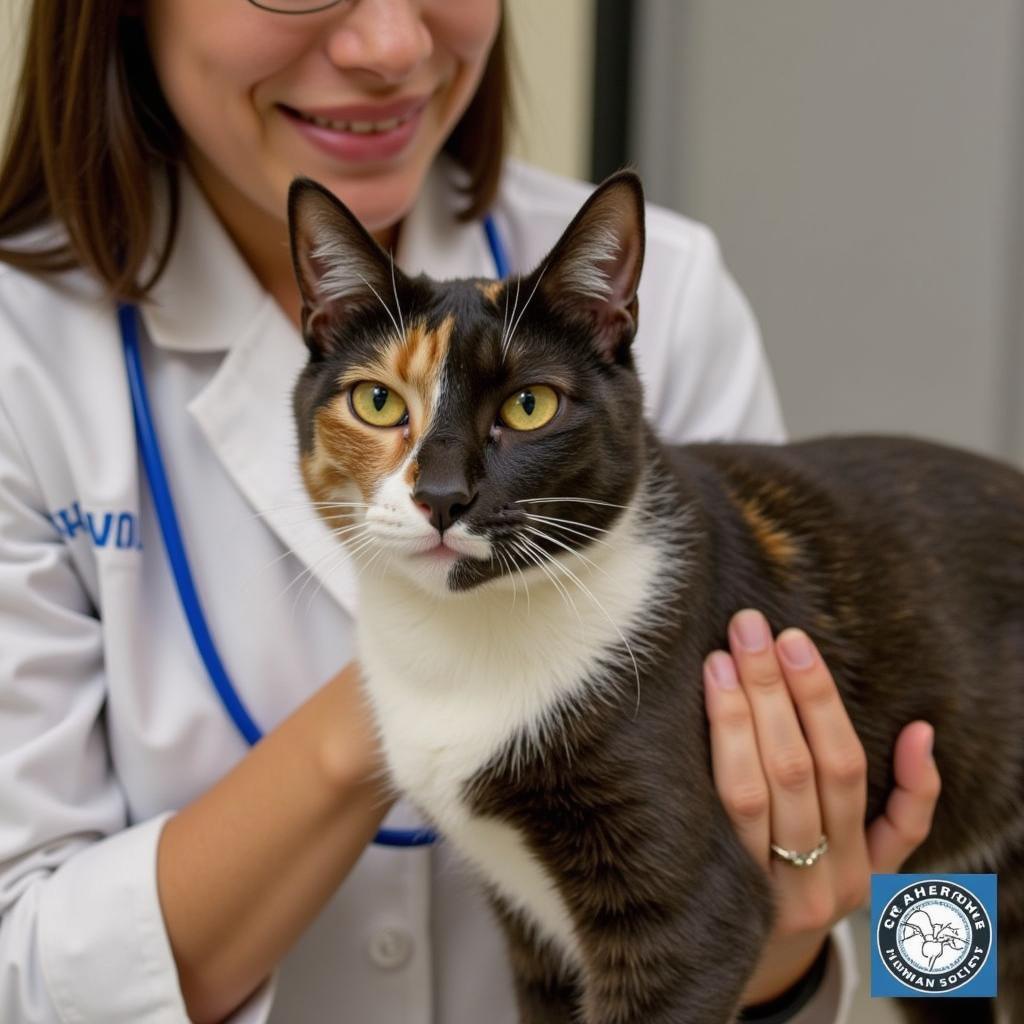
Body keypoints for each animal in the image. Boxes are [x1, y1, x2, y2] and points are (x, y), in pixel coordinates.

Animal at [286, 172, 1024, 1019]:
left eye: (530, 406)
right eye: (376, 402)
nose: (441, 496)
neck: (467, 637)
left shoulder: (689, 919)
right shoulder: (532, 937)